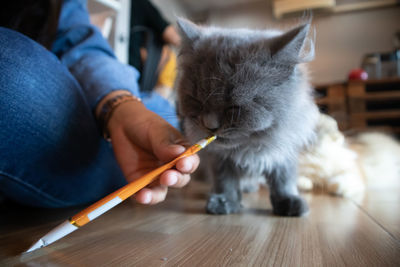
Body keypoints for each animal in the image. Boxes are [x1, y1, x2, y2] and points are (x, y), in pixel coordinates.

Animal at [177, 17, 320, 217]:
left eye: (234, 107)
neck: (249, 148)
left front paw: (290, 202)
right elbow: (225, 181)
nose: (209, 125)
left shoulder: (284, 153)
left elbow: (284, 180)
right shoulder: (219, 159)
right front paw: (224, 202)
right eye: (197, 102)